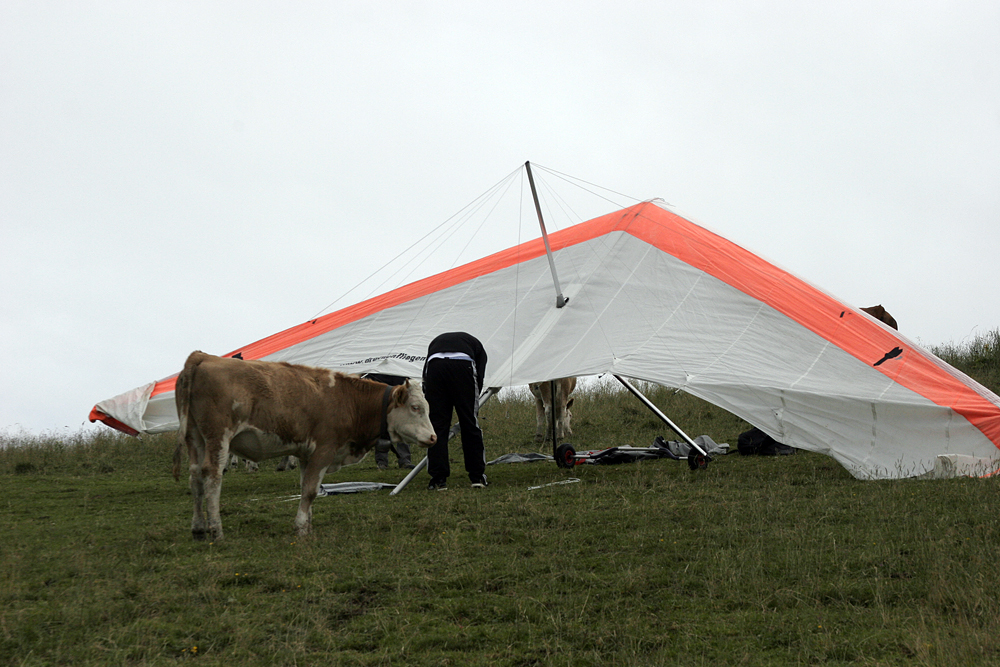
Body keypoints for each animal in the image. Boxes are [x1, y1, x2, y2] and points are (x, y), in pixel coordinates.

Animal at [173, 352, 438, 540]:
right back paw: (216, 529)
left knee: (195, 477)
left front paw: (308, 525)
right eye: (415, 407)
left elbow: (306, 488)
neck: (347, 400)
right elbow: (311, 490)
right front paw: (300, 528)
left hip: (195, 438)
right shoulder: (324, 450)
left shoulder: (306, 455)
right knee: (212, 477)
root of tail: (203, 356)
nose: (434, 437)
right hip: (218, 437)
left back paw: (198, 528)